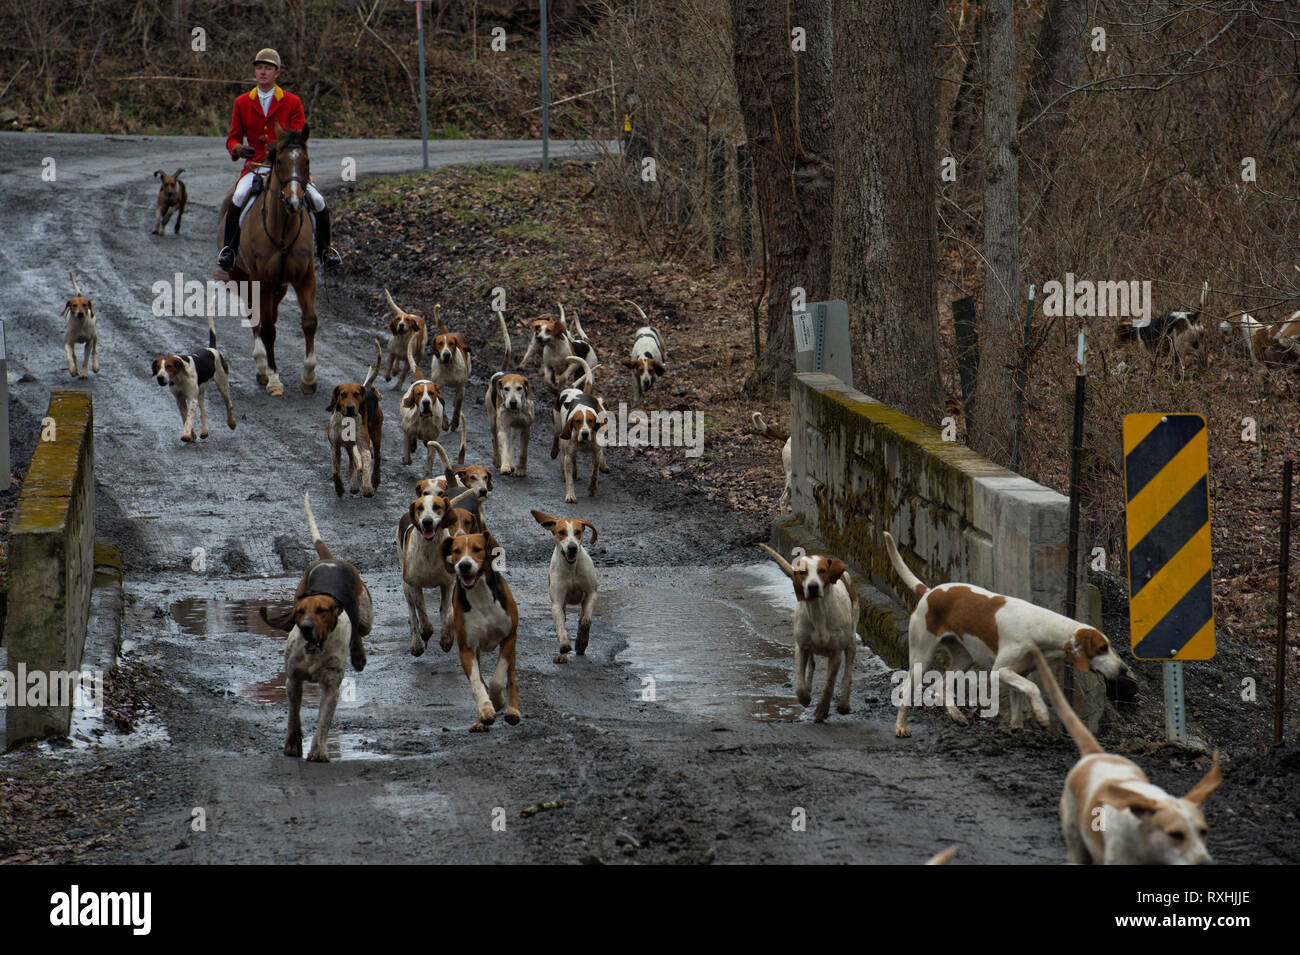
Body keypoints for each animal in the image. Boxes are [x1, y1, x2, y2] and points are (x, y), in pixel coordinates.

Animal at [218, 127, 317, 394]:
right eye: (280, 162)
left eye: (306, 161)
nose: (294, 202)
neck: (282, 227)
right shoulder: (261, 280)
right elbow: (268, 328)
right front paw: (274, 379)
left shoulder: (305, 276)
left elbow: (309, 322)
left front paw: (309, 377)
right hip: (242, 277)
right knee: (257, 319)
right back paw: (262, 367)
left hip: (278, 287)